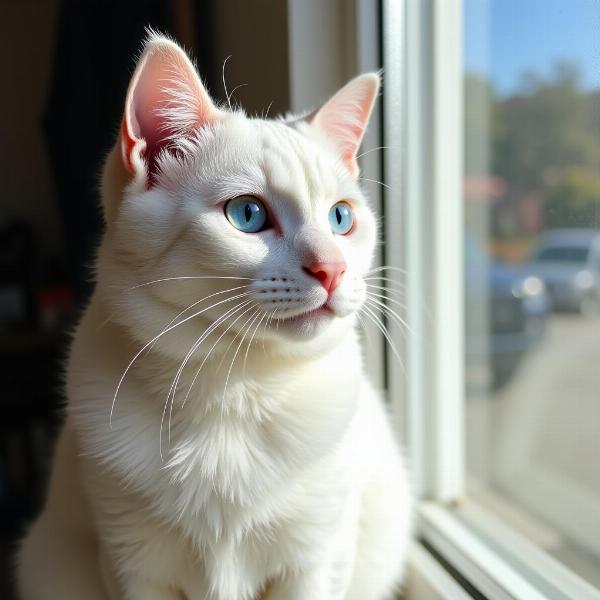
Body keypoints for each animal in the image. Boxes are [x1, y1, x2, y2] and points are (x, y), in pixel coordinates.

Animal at [18, 34, 412, 600]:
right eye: (248, 214)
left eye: (341, 218)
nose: (332, 270)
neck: (235, 386)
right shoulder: (130, 564)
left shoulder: (316, 560)